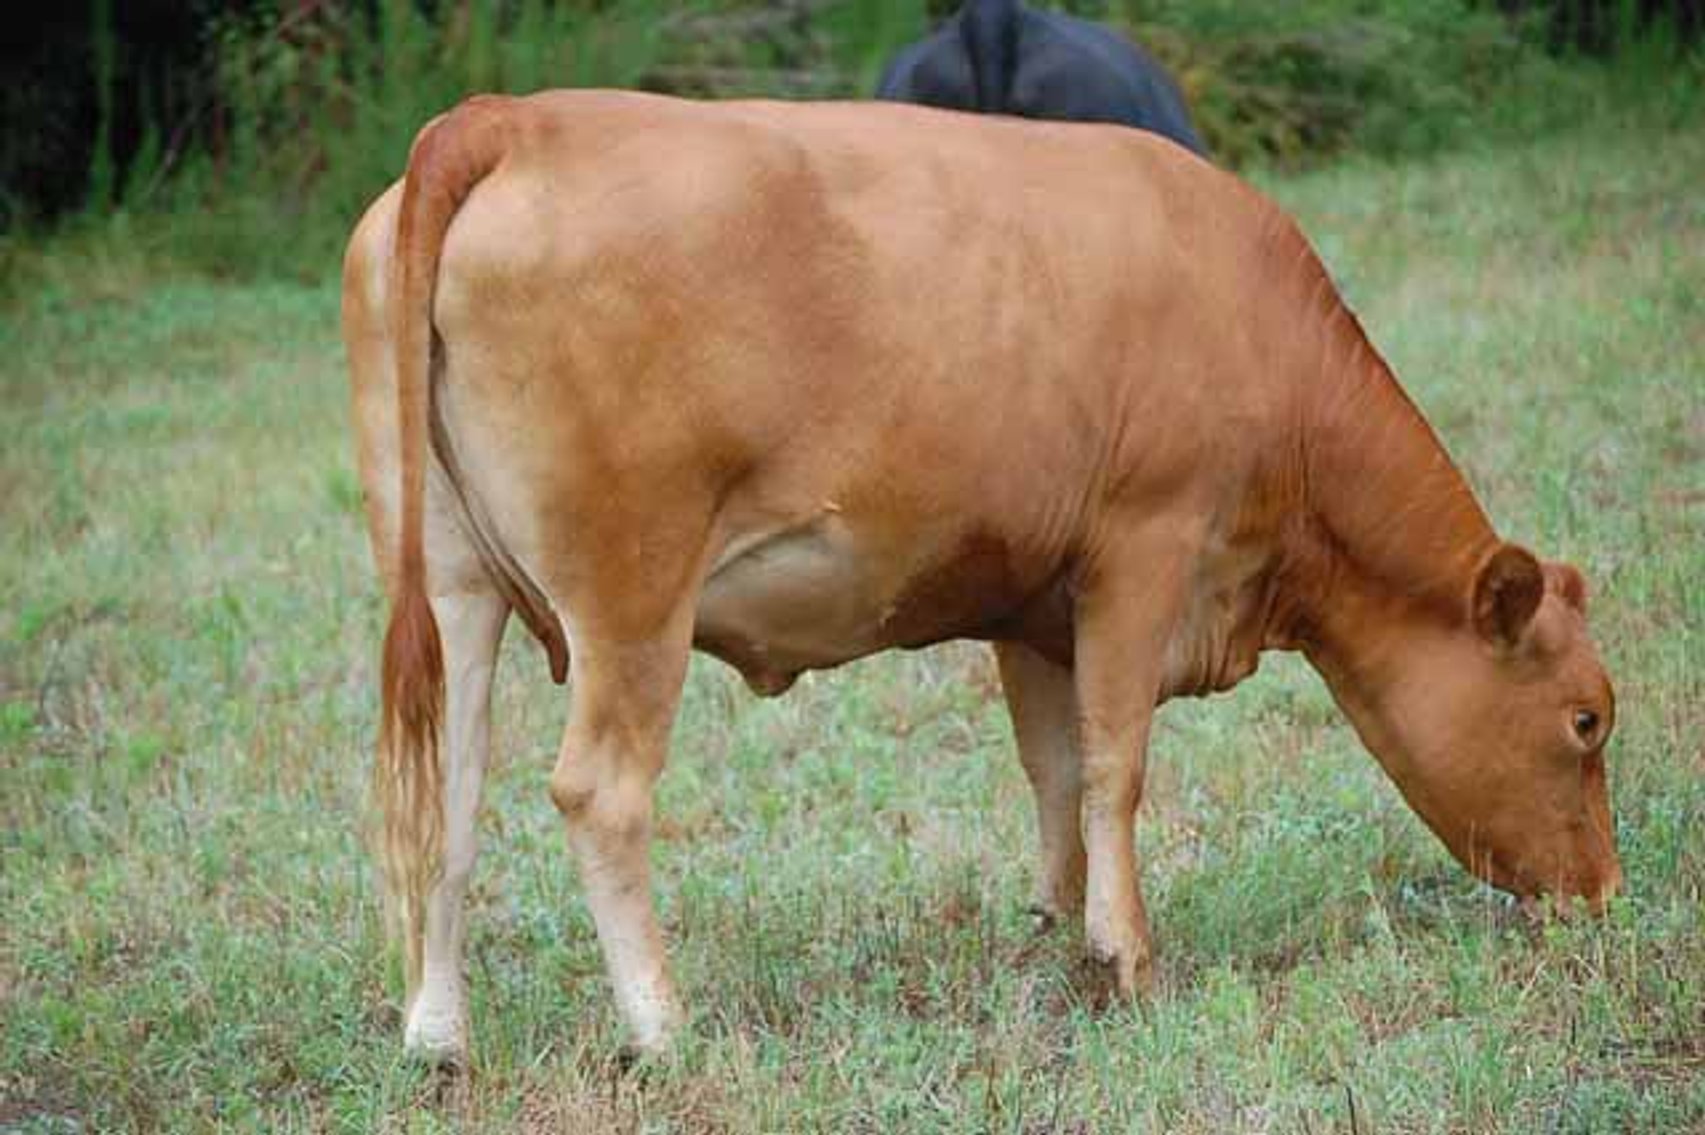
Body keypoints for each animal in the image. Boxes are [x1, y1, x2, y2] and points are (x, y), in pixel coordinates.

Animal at [343, 90, 1620, 1064]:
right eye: (1587, 719)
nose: (1605, 892)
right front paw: (1127, 956)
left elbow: (1052, 767)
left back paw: (437, 1037)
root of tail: (513, 116)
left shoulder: (1033, 599)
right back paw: (663, 1028)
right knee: (597, 792)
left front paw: (1053, 929)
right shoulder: (1143, 544)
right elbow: (1114, 763)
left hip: (451, 584)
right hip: (632, 592)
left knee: (448, 796)